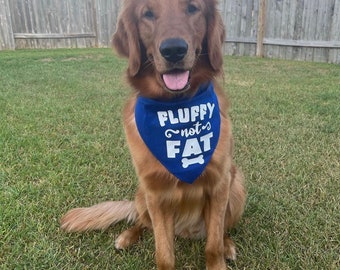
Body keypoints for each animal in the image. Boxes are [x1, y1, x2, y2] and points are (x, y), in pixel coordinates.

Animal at [61, 1, 246, 268]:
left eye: (193, 8)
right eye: (147, 14)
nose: (174, 50)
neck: (177, 109)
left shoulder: (220, 183)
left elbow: (213, 244)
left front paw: (218, 260)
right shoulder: (156, 192)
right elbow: (164, 254)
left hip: (237, 183)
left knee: (221, 231)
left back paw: (228, 244)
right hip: (142, 194)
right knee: (141, 221)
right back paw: (127, 236)